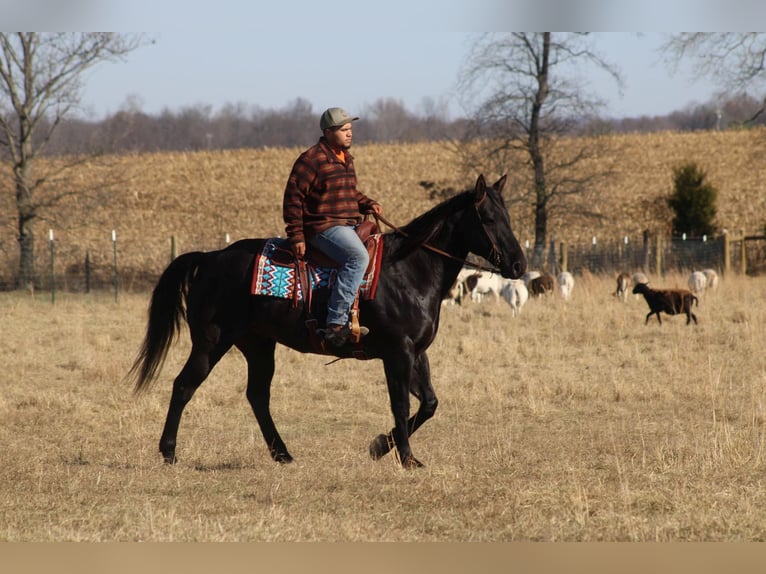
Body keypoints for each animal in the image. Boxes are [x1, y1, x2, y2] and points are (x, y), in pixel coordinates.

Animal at [130, 174, 528, 468]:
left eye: (509, 218)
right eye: (488, 219)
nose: (518, 264)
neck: (409, 269)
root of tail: (210, 257)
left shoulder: (417, 353)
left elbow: (428, 403)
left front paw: (379, 446)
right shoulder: (397, 353)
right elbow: (400, 404)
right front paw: (406, 458)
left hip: (258, 345)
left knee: (257, 395)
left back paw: (283, 454)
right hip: (211, 342)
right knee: (184, 386)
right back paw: (169, 452)